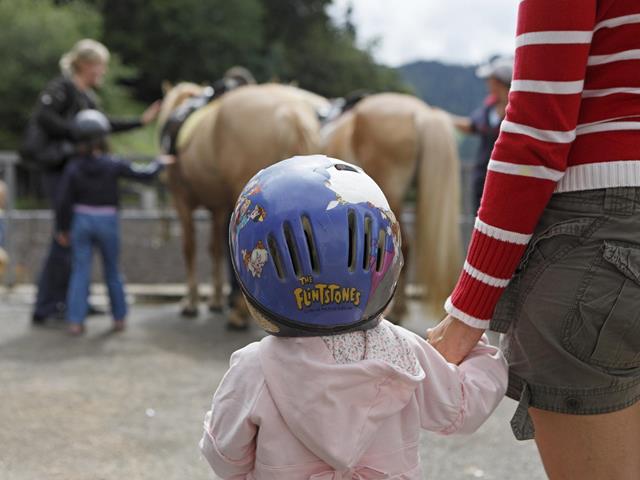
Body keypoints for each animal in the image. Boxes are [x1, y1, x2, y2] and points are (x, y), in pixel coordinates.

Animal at [158, 82, 328, 326]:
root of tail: (290, 112)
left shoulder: (182, 199)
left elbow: (189, 248)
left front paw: (191, 302)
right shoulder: (218, 208)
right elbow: (215, 249)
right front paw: (215, 300)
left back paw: (238, 314)